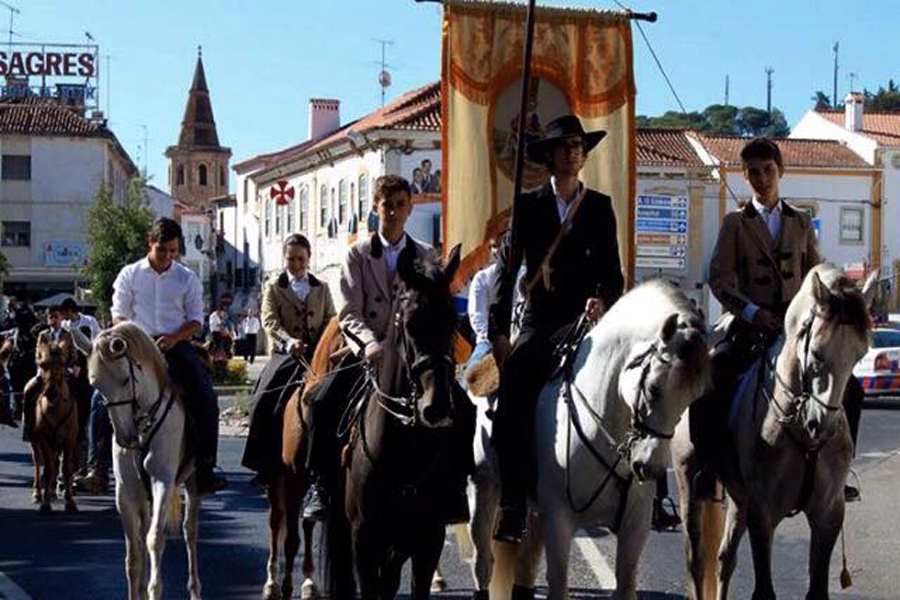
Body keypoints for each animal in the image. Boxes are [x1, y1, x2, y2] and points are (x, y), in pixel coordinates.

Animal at [29, 340, 78, 512]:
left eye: (62, 363)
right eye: (42, 364)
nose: (51, 392)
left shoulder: (69, 439)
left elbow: (67, 468)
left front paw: (70, 502)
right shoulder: (44, 438)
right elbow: (48, 468)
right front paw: (45, 504)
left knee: (55, 461)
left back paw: (52, 492)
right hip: (35, 441)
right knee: (38, 462)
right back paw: (38, 493)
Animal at [73, 324, 203, 600]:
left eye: (125, 379)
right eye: (95, 384)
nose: (126, 438)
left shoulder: (162, 482)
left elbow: (155, 538)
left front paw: (154, 589)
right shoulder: (126, 491)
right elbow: (134, 554)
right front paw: (140, 589)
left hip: (193, 482)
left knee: (190, 531)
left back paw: (194, 590)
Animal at [472, 282, 712, 600]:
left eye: (691, 400)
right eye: (653, 388)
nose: (648, 468)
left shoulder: (635, 526)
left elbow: (626, 584)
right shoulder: (558, 520)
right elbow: (558, 583)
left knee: (525, 566)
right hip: (484, 486)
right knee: (483, 562)